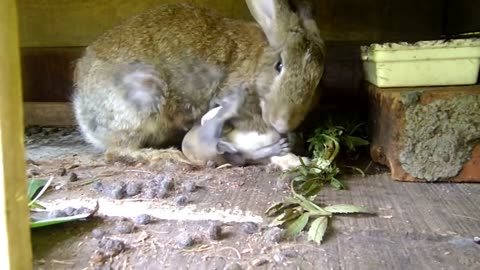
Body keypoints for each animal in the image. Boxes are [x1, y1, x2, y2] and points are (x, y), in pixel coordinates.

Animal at [72, 0, 326, 169]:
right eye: (279, 66)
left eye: (318, 80)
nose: (283, 122)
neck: (257, 63)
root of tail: (81, 108)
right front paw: (291, 157)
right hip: (144, 99)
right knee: (117, 150)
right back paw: (165, 156)